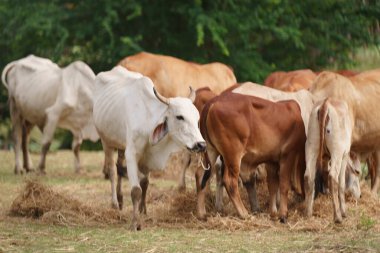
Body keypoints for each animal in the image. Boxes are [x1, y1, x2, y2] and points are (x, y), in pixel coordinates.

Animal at [93, 66, 206, 230]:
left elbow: (145, 184)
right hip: (106, 141)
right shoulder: (131, 154)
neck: (147, 119)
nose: (201, 144)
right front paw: (135, 223)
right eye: (180, 117)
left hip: (120, 144)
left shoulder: (147, 158)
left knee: (119, 169)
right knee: (113, 171)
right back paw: (114, 204)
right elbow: (136, 190)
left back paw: (120, 199)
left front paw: (143, 211)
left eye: (197, 118)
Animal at [196, 91, 306, 221]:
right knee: (230, 181)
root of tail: (213, 102)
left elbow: (273, 186)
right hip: (233, 155)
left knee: (200, 175)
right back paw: (244, 213)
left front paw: (273, 212)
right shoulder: (288, 154)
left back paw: (202, 214)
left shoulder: (271, 161)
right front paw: (283, 214)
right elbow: (284, 184)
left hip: (210, 151)